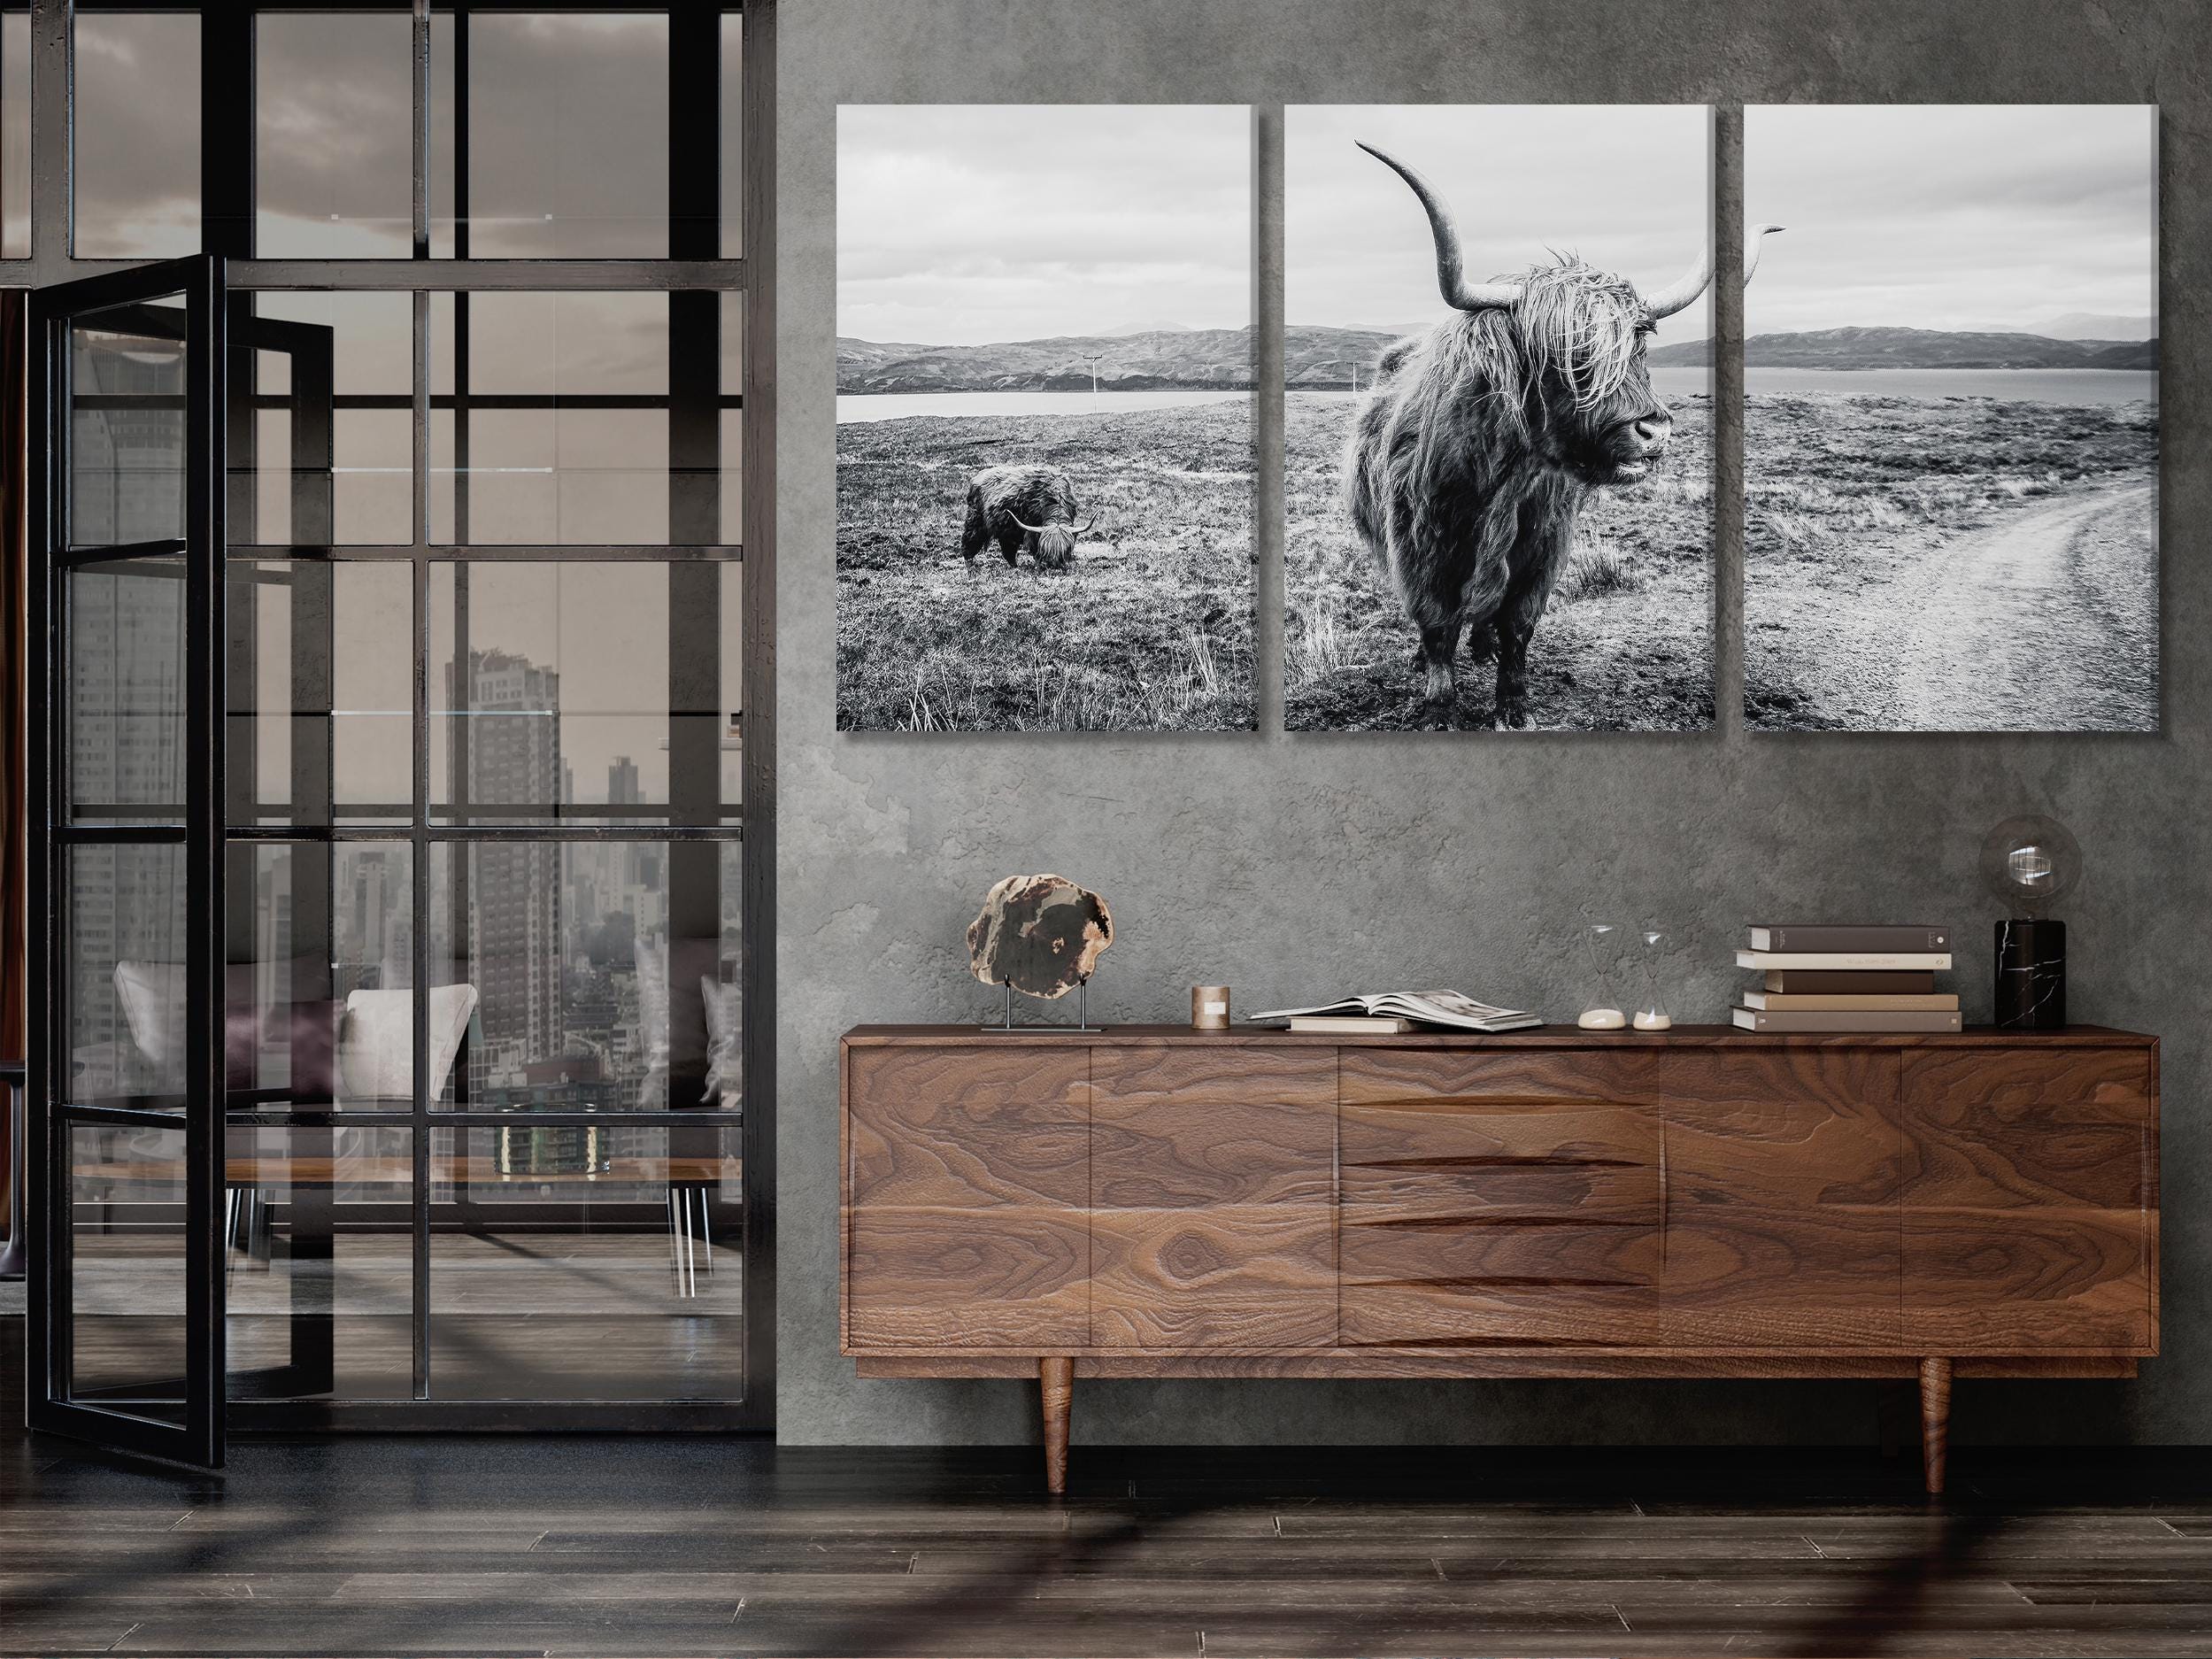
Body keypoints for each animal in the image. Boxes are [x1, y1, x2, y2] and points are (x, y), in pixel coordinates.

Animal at [961, 464, 1097, 571]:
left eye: (1064, 550)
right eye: (1046, 549)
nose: (1053, 565)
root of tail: (978, 476)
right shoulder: (1032, 528)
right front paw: (1038, 564)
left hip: (1007, 531)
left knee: (1008, 550)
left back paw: (1015, 566)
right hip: (975, 520)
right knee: (969, 542)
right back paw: (970, 566)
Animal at [1346, 140, 1782, 728]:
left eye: (1639, 344)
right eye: (1568, 352)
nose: (1653, 431)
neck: (1505, 482)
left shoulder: (1541, 552)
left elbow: (1518, 625)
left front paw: (1514, 706)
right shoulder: (1422, 548)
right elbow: (1436, 622)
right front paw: (1439, 704)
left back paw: (1482, 649)